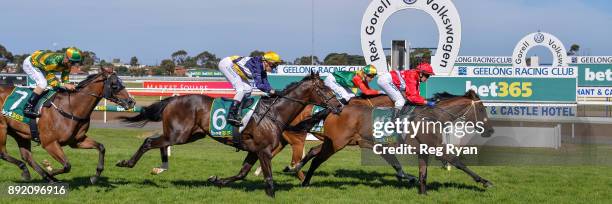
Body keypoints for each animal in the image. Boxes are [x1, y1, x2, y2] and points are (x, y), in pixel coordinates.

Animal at [0, 67, 135, 184]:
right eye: (114, 85)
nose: (131, 102)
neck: (71, 108)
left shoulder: (77, 140)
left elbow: (101, 147)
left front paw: (95, 177)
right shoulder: (49, 143)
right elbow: (67, 165)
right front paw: (50, 171)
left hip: (19, 133)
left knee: (27, 156)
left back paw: (32, 174)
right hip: (3, 128)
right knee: (4, 153)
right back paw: (31, 171)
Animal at [116, 72, 344, 198]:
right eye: (324, 89)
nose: (340, 106)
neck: (274, 113)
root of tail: (173, 99)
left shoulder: (254, 150)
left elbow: (241, 173)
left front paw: (216, 180)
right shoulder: (264, 151)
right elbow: (269, 177)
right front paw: (272, 195)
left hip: (190, 135)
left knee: (158, 143)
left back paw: (156, 166)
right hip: (178, 135)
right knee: (149, 141)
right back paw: (127, 163)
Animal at [290, 91, 494, 194]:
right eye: (481, 109)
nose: (490, 130)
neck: (433, 116)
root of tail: (334, 109)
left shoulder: (423, 149)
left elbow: (423, 173)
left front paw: (422, 192)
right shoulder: (435, 148)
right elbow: (457, 161)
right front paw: (484, 181)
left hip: (335, 142)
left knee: (314, 151)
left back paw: (297, 170)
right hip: (337, 144)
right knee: (317, 159)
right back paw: (305, 181)